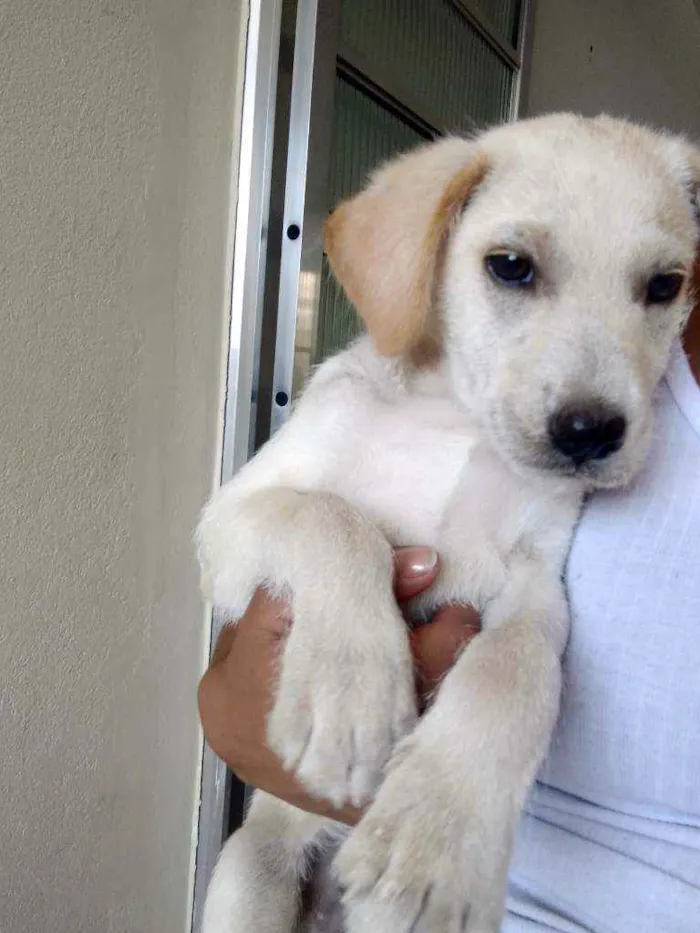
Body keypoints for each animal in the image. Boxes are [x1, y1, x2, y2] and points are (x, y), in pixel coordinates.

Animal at [197, 116, 700, 932]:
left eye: (665, 285)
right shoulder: (235, 516)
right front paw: (352, 692)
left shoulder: (535, 581)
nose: (592, 433)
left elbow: (513, 672)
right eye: (511, 267)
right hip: (251, 873)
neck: (455, 418)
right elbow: (335, 520)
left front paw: (435, 836)